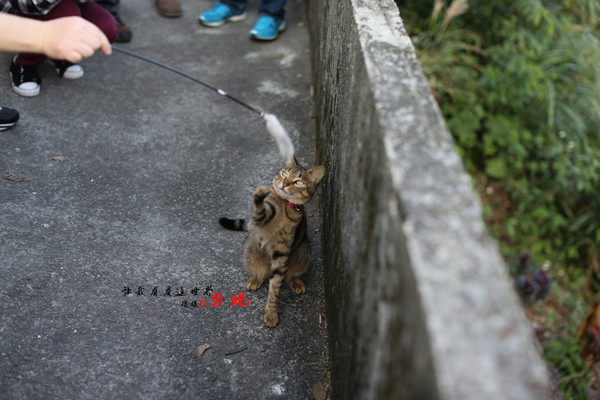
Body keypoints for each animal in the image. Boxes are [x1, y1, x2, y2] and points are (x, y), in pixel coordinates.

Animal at [219, 157, 324, 328]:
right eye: (285, 174)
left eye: (298, 182)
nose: (284, 183)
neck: (284, 208)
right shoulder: (259, 221)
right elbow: (261, 208)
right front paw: (263, 191)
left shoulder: (281, 253)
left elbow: (275, 289)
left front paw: (271, 313)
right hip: (250, 252)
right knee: (259, 271)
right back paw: (256, 278)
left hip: (303, 252)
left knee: (289, 275)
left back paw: (296, 282)